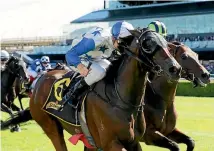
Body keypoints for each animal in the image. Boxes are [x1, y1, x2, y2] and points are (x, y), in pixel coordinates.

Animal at [28, 28, 181, 150]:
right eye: (148, 44)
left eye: (166, 43)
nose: (175, 69)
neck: (119, 99)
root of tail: (41, 79)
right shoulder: (111, 143)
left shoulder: (133, 141)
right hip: (51, 127)